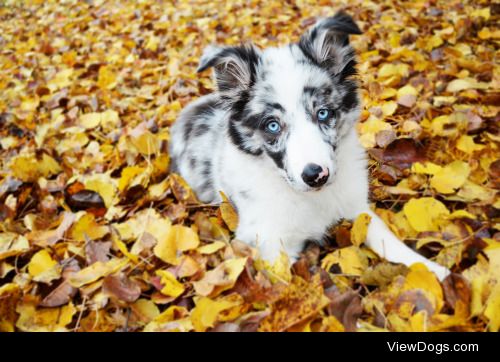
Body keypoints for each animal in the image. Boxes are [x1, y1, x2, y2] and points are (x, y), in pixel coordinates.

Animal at [170, 12, 452, 280]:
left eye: (323, 113)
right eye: (273, 125)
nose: (316, 175)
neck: (312, 199)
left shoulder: (358, 207)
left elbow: (386, 238)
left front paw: (436, 273)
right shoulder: (267, 243)